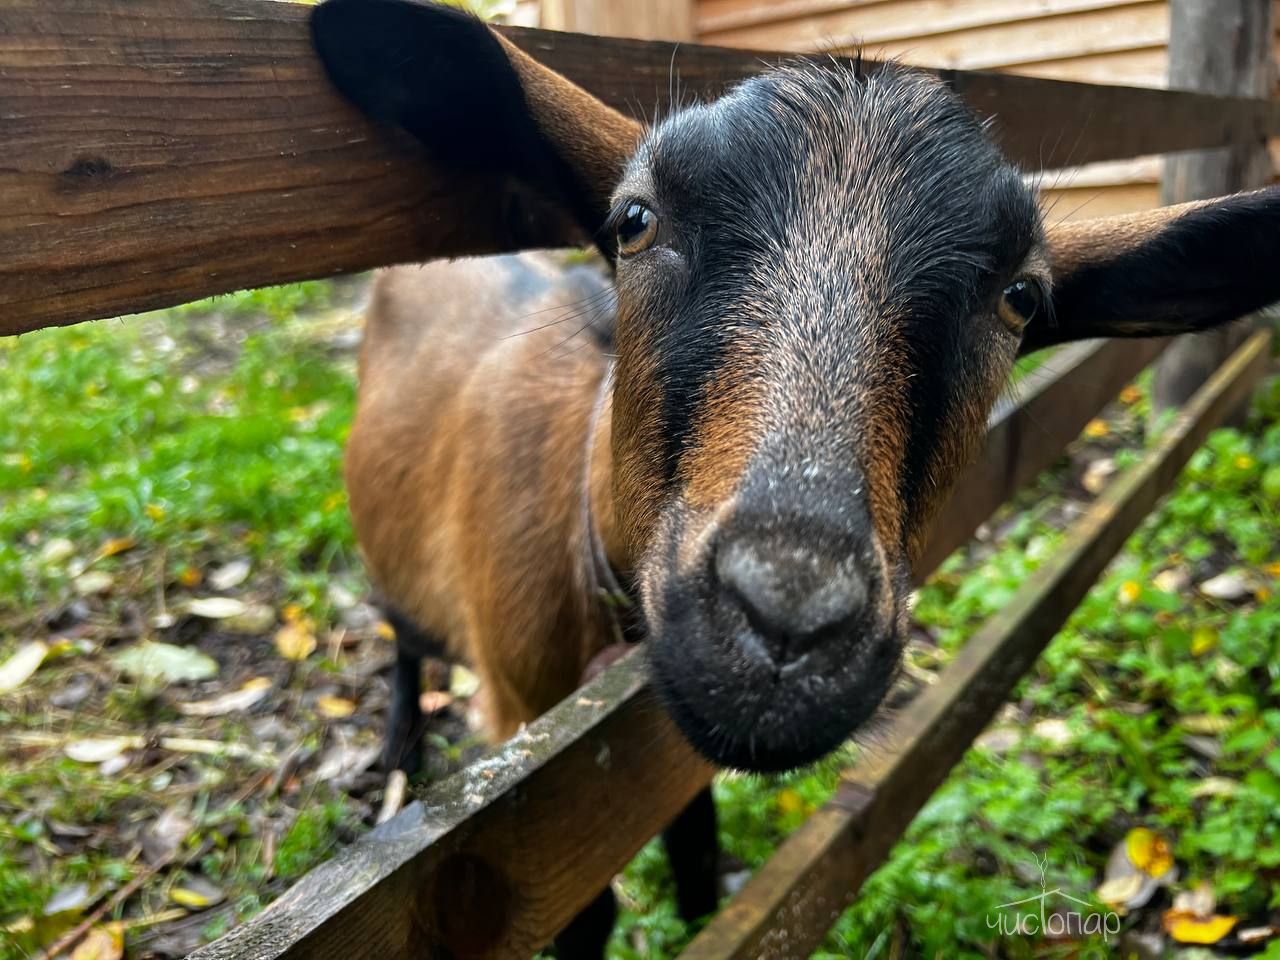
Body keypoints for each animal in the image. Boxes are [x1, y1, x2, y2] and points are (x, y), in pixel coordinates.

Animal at [309, 0, 1280, 957]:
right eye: (634, 220)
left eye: (1020, 299)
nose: (789, 615)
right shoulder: (526, 759)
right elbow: (589, 911)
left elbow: (697, 851)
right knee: (400, 629)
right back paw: (399, 747)